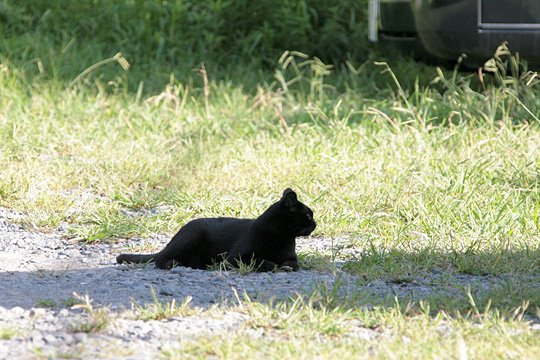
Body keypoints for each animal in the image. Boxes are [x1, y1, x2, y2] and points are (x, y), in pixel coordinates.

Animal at [116, 190, 314, 272]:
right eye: (307, 214)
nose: (315, 223)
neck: (283, 237)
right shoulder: (236, 257)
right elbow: (260, 261)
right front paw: (272, 265)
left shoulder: (291, 256)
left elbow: (293, 264)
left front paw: (285, 266)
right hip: (189, 239)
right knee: (160, 258)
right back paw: (173, 264)